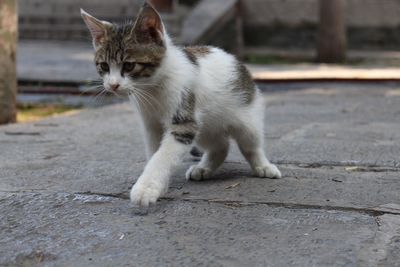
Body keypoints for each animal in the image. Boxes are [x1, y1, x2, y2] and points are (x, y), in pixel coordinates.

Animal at [81, 1, 282, 207]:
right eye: (104, 66)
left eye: (129, 65)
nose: (113, 85)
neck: (152, 89)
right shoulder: (151, 124)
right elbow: (154, 152)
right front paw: (158, 186)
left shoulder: (184, 121)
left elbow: (162, 156)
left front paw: (145, 188)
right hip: (206, 126)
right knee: (220, 146)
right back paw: (203, 168)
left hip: (247, 117)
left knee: (251, 144)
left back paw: (263, 166)